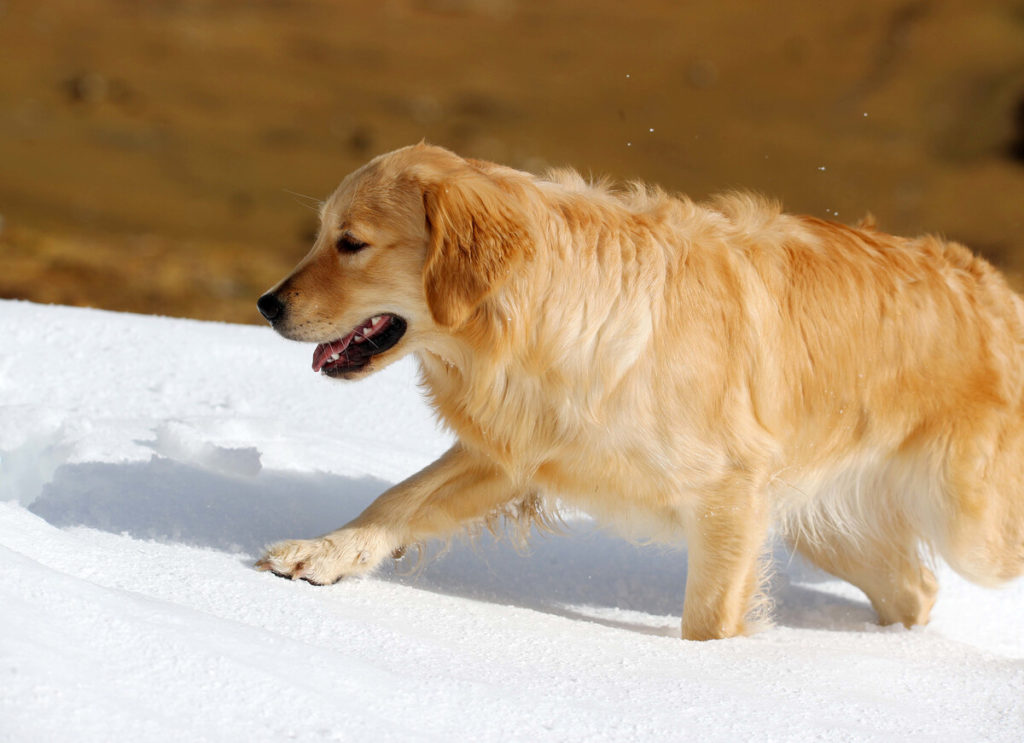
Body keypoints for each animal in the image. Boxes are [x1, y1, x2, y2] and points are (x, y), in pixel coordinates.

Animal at [256, 144, 1024, 638]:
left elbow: (707, 622)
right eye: (321, 233)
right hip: (825, 521)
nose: (267, 304)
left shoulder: (728, 499)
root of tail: (994, 287)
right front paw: (323, 553)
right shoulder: (522, 451)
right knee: (917, 588)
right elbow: (398, 500)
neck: (547, 313)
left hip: (968, 523)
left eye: (351, 243)